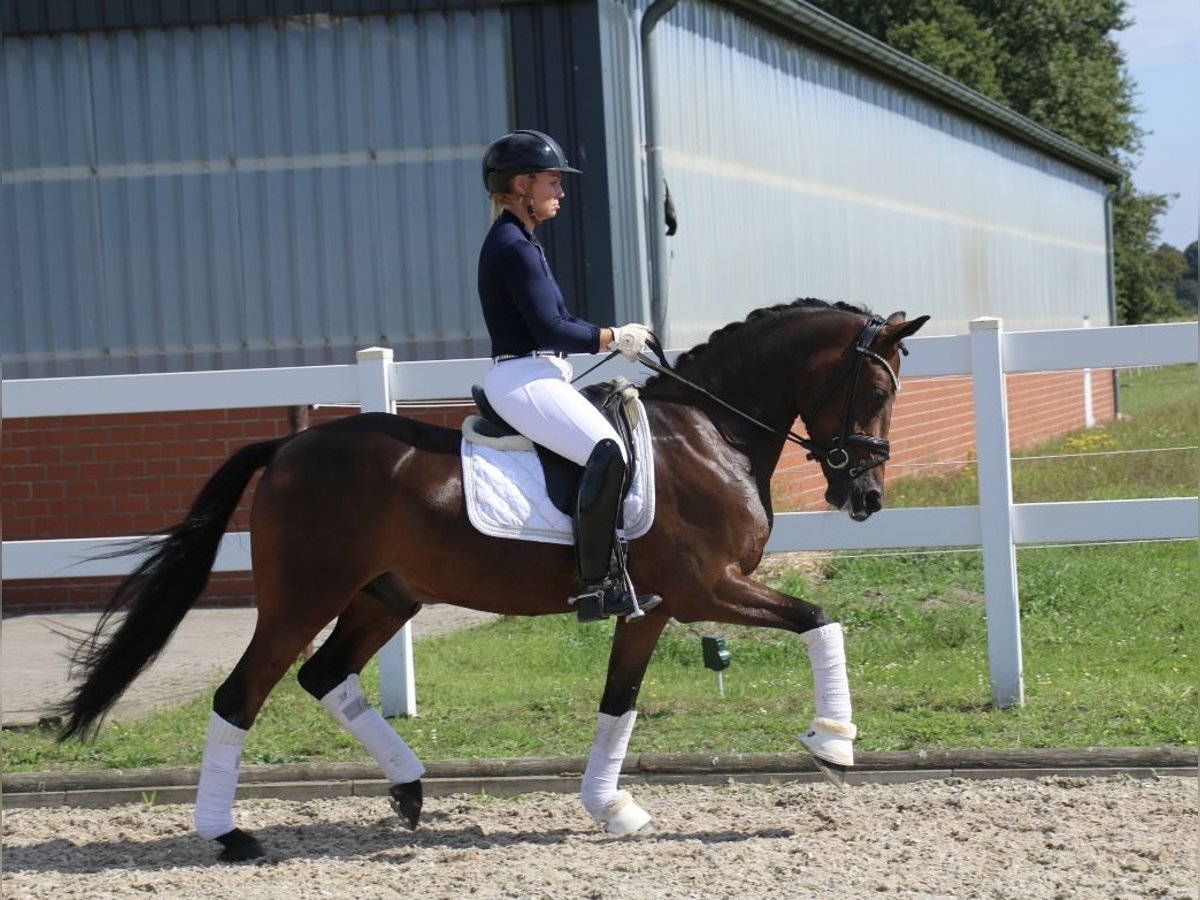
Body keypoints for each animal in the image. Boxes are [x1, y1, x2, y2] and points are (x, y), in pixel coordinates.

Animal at [56, 301, 926, 859]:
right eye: (880, 390)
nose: (867, 498)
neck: (710, 432)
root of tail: (288, 446)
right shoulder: (705, 588)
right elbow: (820, 616)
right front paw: (833, 742)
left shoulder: (649, 608)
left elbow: (619, 701)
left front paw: (612, 807)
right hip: (303, 597)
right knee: (242, 695)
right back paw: (229, 835)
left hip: (384, 596)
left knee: (324, 675)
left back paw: (409, 788)